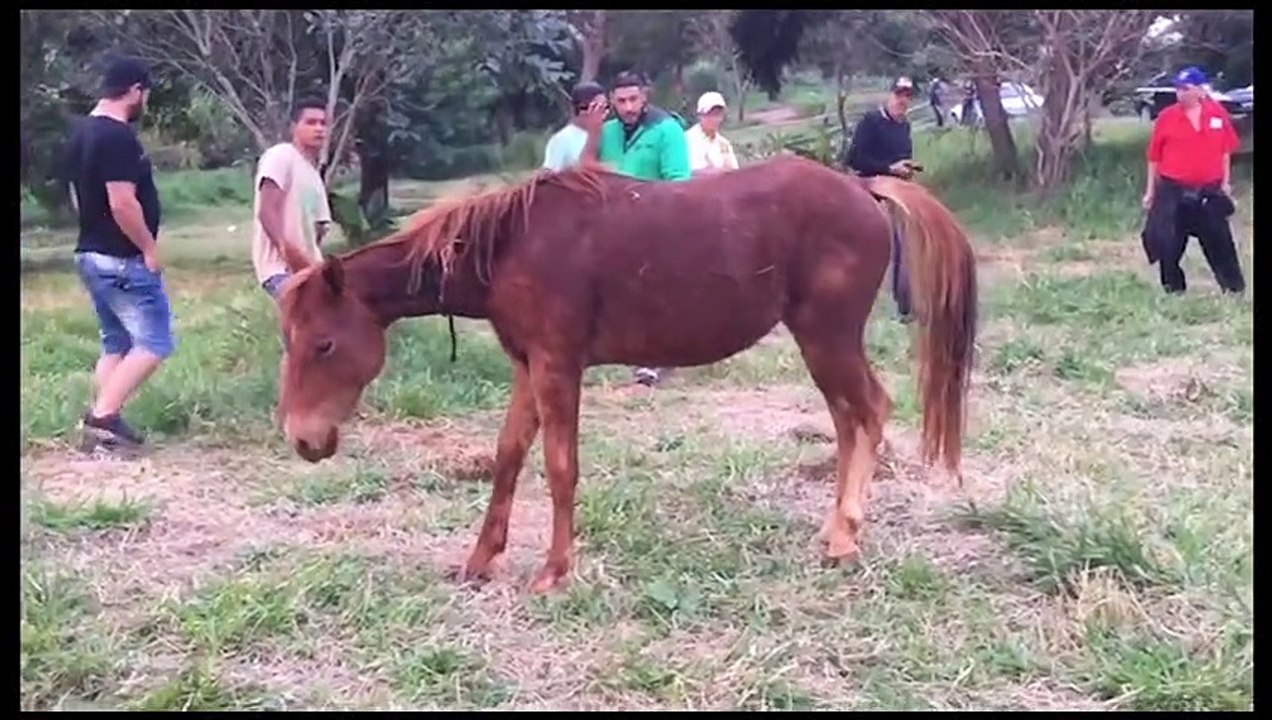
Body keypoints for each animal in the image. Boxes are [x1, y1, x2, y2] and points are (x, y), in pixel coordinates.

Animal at [274, 155, 978, 594]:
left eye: (324, 344)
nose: (303, 439)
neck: (510, 246)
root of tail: (862, 187)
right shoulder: (529, 366)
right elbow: (508, 457)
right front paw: (480, 560)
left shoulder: (558, 367)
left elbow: (560, 466)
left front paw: (555, 571)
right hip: (823, 346)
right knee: (848, 419)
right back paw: (834, 531)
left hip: (826, 340)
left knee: (870, 411)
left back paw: (845, 539)